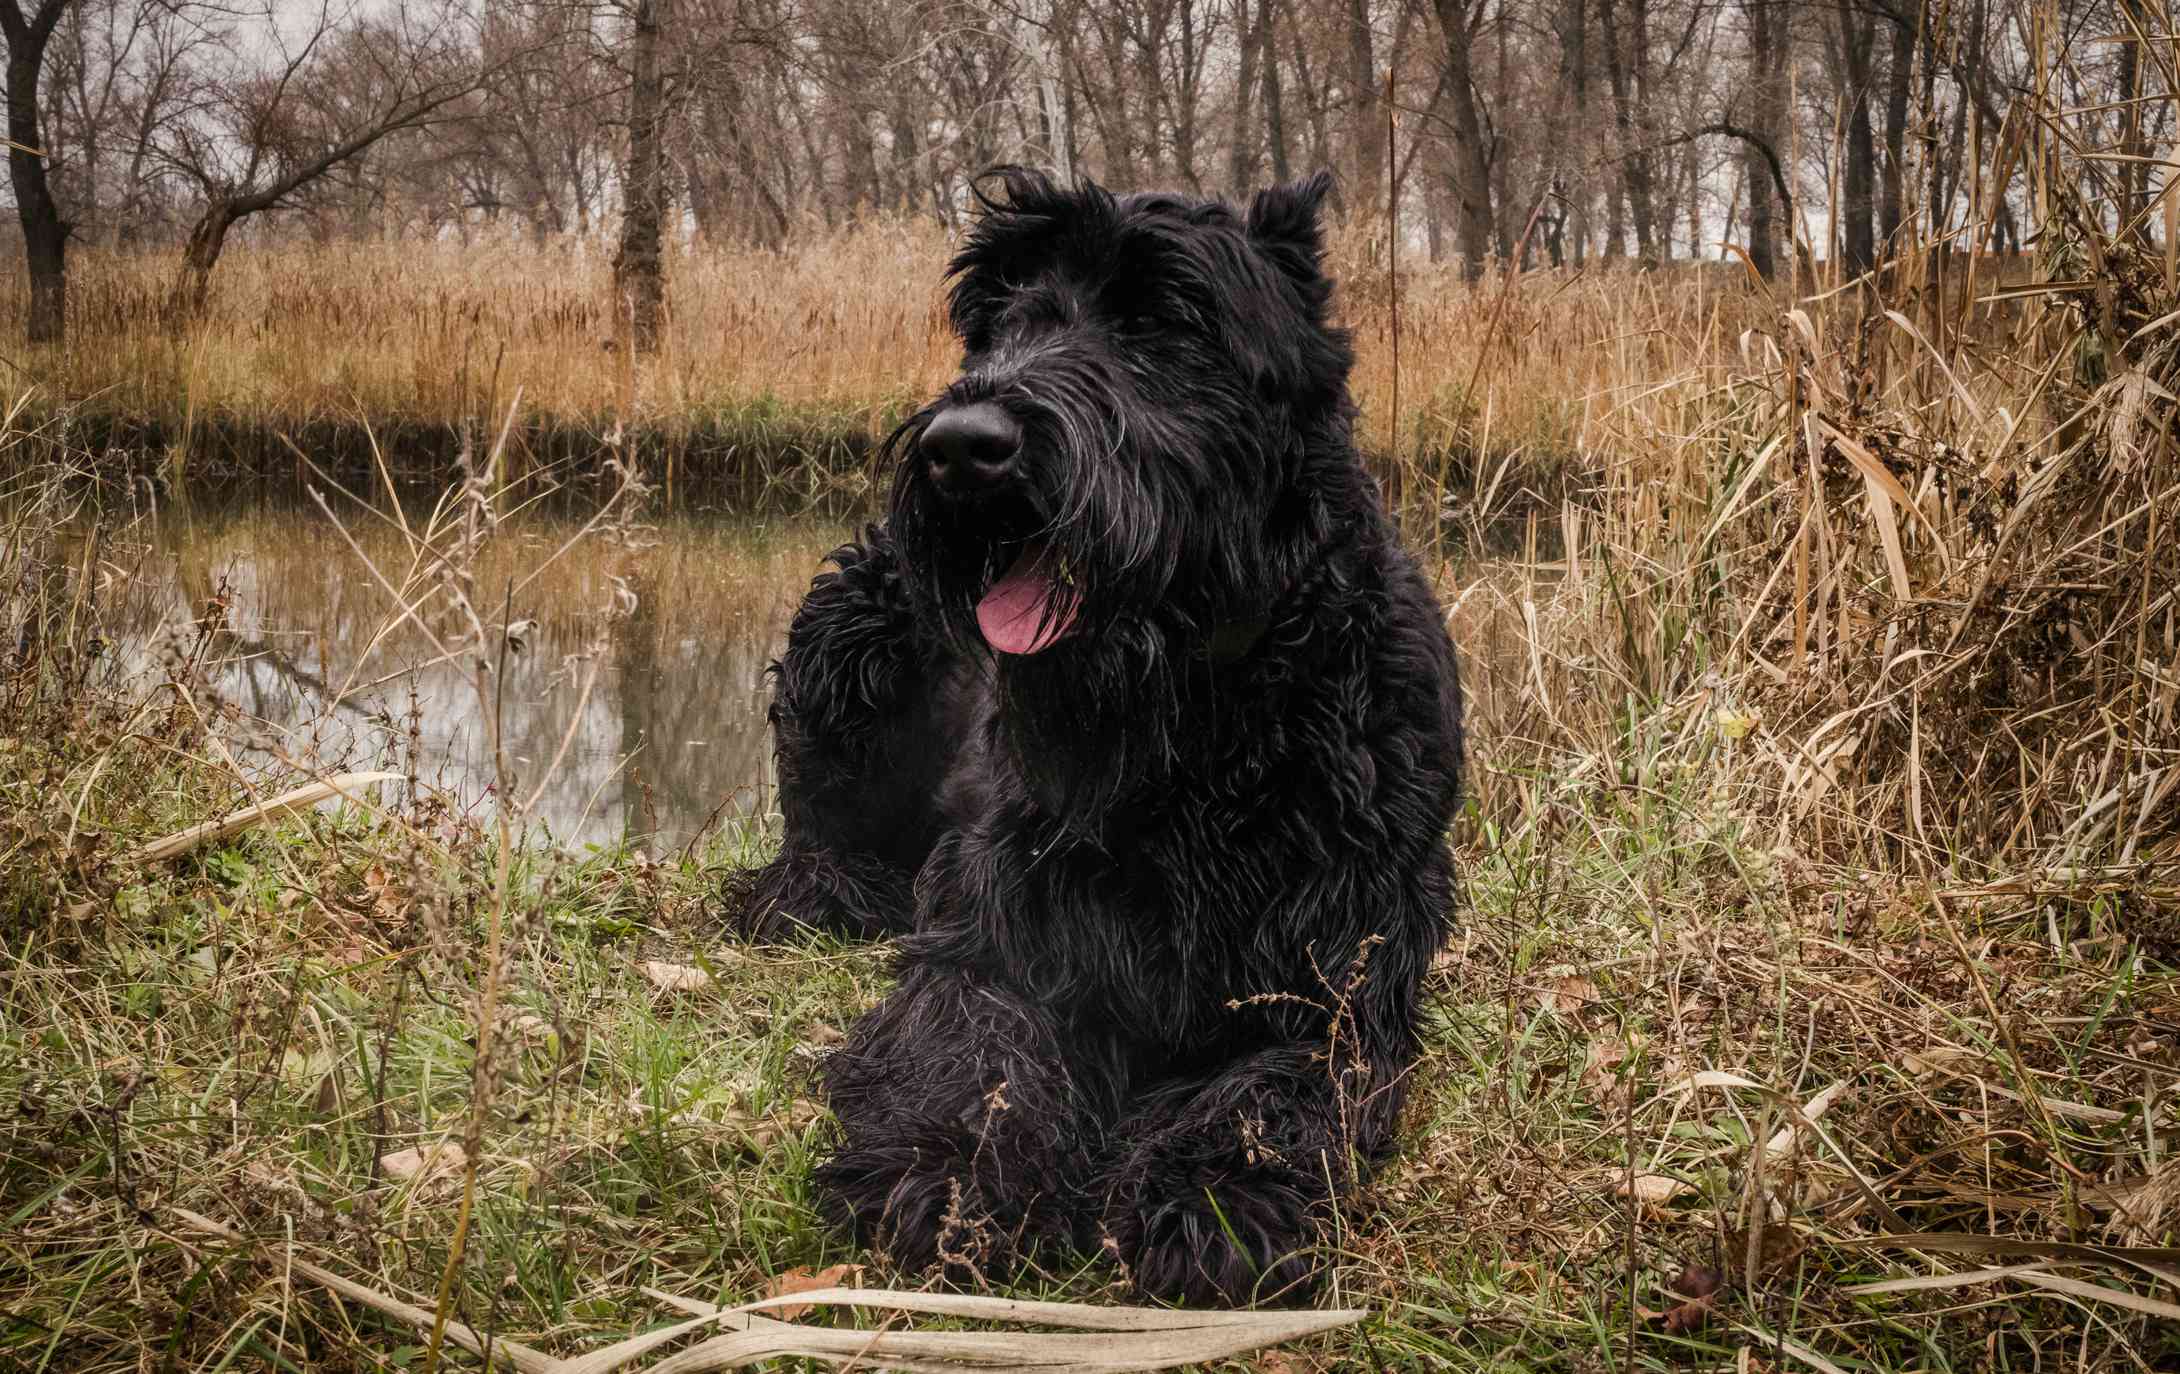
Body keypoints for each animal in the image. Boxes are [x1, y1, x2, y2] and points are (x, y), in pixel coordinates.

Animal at [728, 172, 1464, 1317]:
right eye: (997, 319)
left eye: (1160, 320)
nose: (963, 445)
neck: (1200, 726)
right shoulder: (996, 933)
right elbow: (977, 1052)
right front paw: (951, 1172)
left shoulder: (1335, 975)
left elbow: (1265, 1092)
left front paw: (1209, 1199)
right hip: (848, 632)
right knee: (811, 823)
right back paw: (816, 892)